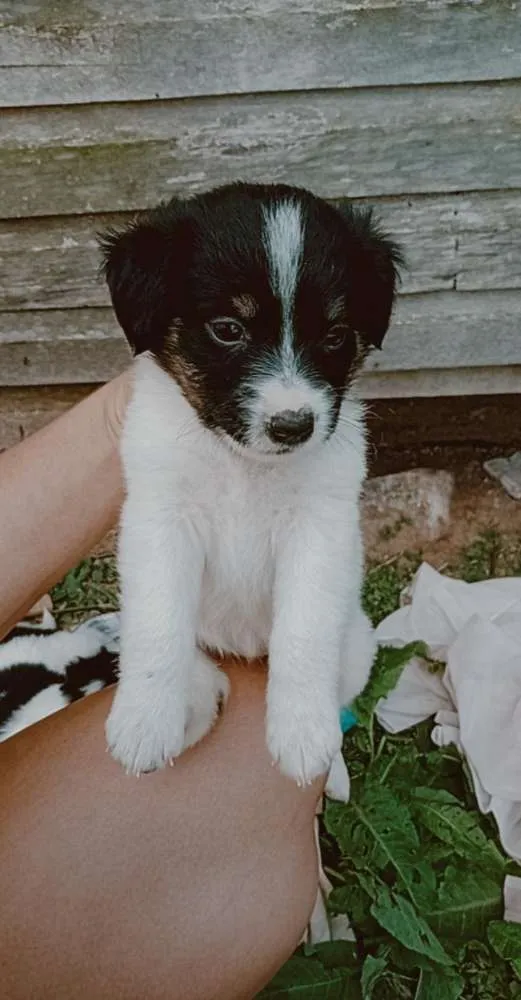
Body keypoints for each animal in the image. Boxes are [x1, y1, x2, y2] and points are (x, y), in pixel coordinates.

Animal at [102, 180, 402, 788]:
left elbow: (304, 632)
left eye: (336, 334)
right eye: (228, 329)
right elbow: (158, 626)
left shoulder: (320, 529)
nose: (293, 426)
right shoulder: (160, 519)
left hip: (357, 644)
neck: (243, 464)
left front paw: (303, 734)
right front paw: (144, 721)